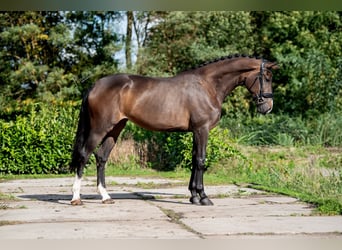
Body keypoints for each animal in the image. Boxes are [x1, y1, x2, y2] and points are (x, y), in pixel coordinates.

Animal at [69, 54, 278, 205]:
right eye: (267, 77)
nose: (268, 107)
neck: (208, 85)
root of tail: (95, 85)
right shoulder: (202, 130)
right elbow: (201, 160)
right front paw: (203, 197)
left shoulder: (195, 132)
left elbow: (194, 160)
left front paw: (193, 196)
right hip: (99, 129)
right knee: (84, 155)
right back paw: (76, 198)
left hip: (115, 129)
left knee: (101, 157)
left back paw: (105, 196)